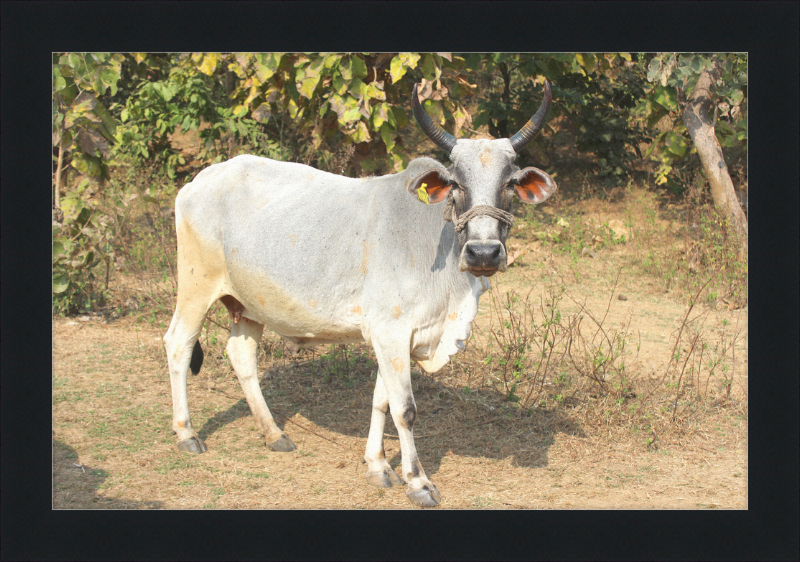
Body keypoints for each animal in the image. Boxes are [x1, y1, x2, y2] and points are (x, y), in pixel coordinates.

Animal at [162, 79, 556, 504]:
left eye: (510, 183)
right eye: (455, 183)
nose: (484, 252)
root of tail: (200, 180)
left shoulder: (396, 337)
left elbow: (381, 401)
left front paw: (378, 466)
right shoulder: (391, 332)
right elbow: (405, 409)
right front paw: (417, 481)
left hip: (250, 304)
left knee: (241, 355)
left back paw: (274, 433)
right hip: (196, 286)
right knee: (179, 343)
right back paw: (186, 433)